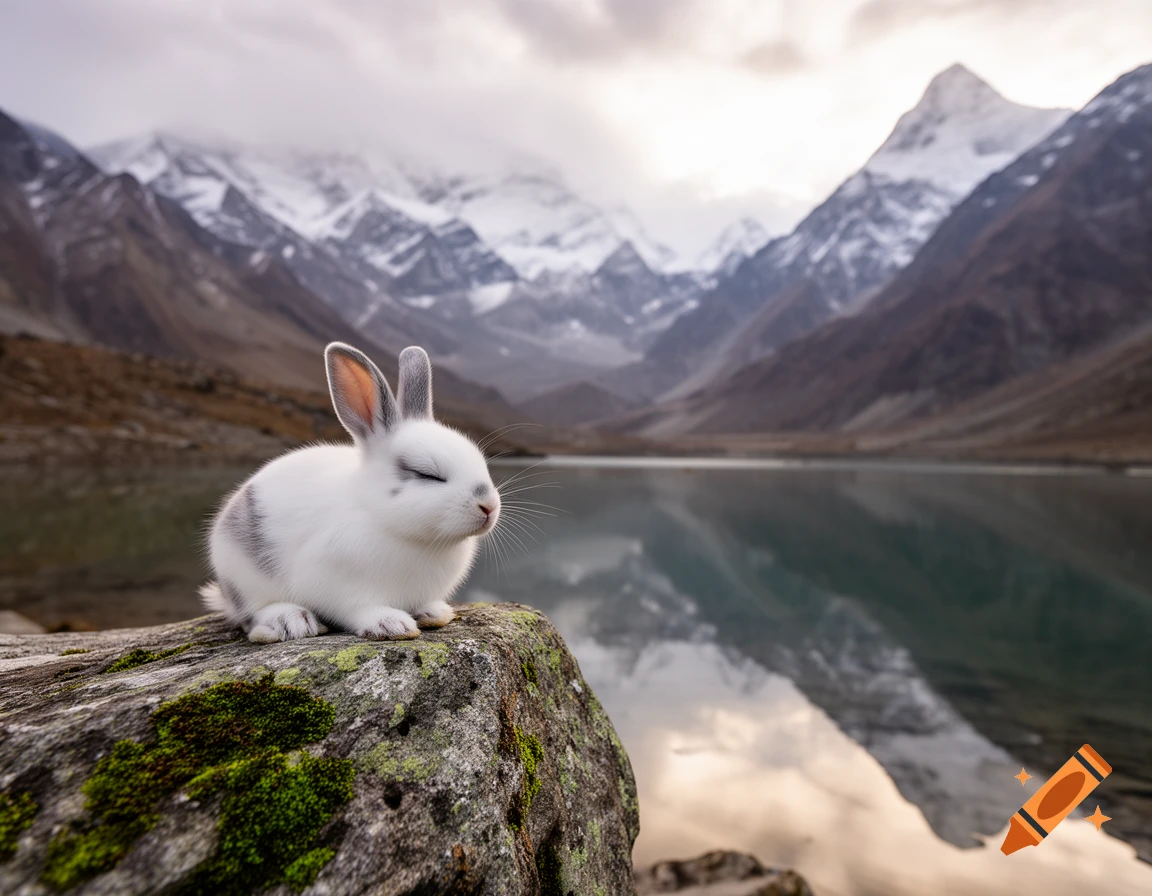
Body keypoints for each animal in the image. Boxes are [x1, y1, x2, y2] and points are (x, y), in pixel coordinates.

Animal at [198, 342, 501, 643]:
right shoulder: (340, 587)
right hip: (244, 578)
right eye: (427, 474)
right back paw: (291, 621)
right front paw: (391, 625)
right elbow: (359, 610)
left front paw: (434, 612)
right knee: (251, 616)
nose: (488, 507)